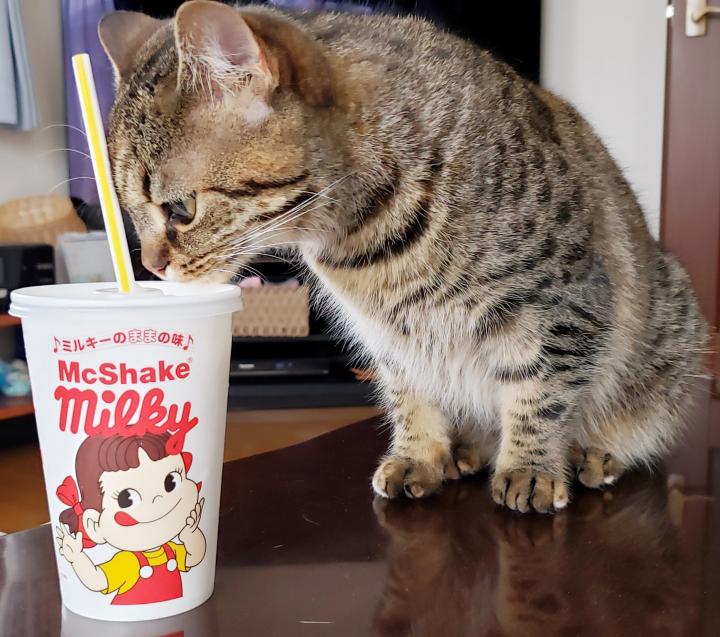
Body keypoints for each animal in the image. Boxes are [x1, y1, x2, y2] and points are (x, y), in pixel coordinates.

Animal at [98, 0, 708, 512]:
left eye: (180, 210)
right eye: (127, 210)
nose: (150, 266)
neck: (362, 244)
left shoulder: (563, 304)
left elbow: (540, 395)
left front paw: (531, 466)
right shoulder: (390, 339)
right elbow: (411, 400)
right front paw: (421, 456)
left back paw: (592, 453)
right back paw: (467, 449)